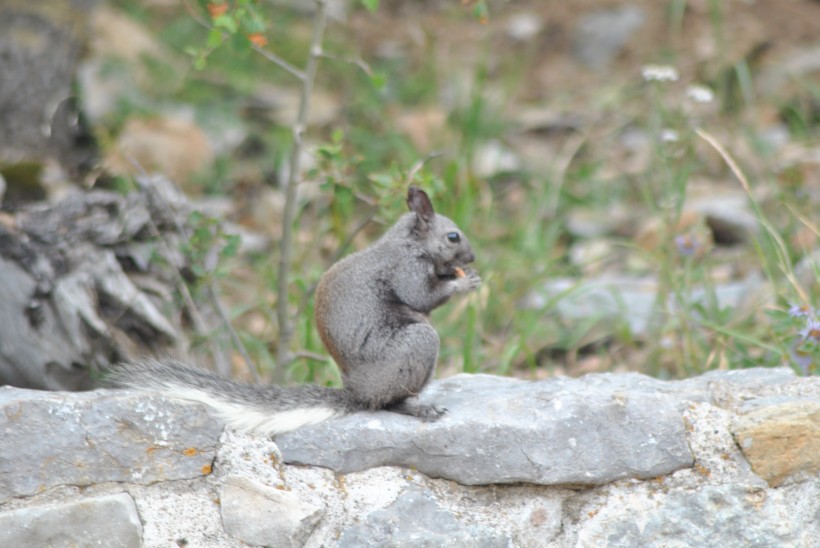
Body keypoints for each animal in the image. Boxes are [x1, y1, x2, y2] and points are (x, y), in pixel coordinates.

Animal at [109, 187, 480, 436]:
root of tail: (358, 393)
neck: (410, 244)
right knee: (389, 402)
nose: (472, 257)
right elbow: (419, 297)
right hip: (415, 345)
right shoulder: (405, 269)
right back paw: (417, 407)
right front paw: (462, 284)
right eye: (453, 236)